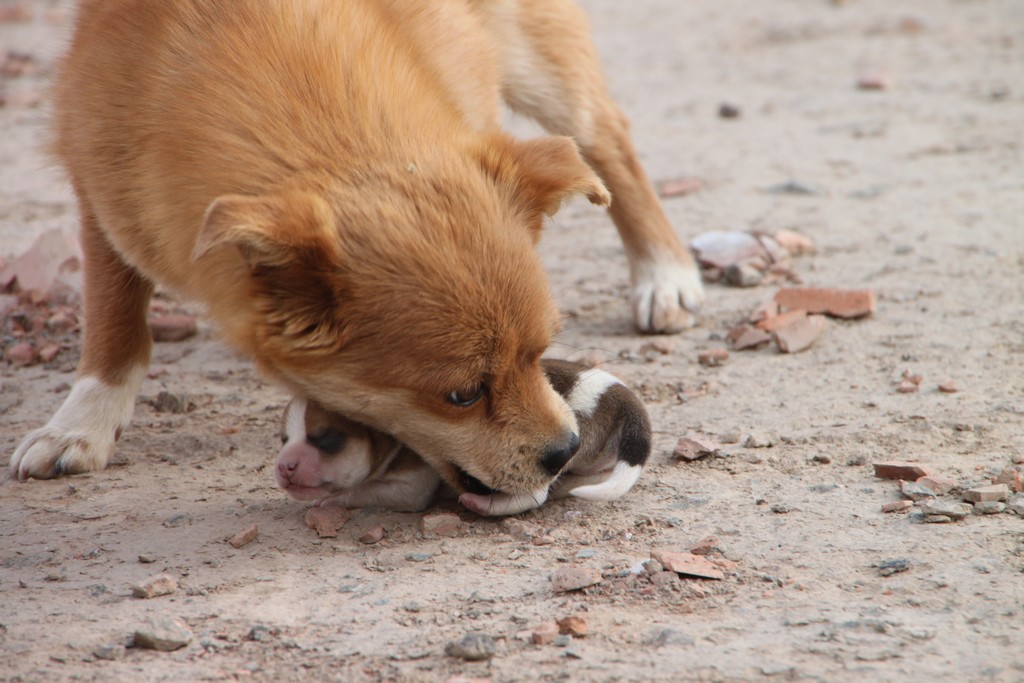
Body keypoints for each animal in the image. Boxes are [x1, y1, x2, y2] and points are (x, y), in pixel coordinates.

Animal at [276, 360, 651, 516]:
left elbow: (367, 491)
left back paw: (483, 504)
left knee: (535, 494)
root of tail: (618, 393)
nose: (283, 467)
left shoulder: (412, 484)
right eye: (283, 439)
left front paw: (333, 501)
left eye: (328, 439)